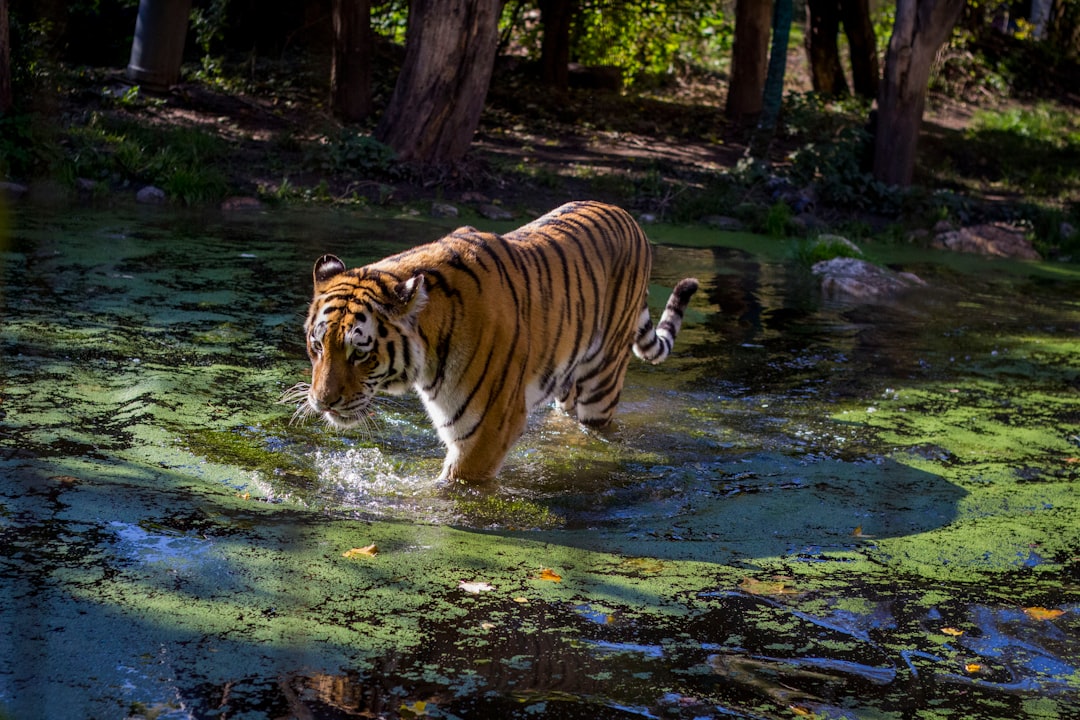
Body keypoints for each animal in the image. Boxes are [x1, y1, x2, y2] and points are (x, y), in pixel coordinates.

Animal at [287, 199, 699, 483]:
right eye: (318, 346)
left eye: (360, 353)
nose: (322, 402)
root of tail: (628, 216)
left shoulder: (488, 428)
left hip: (602, 382)